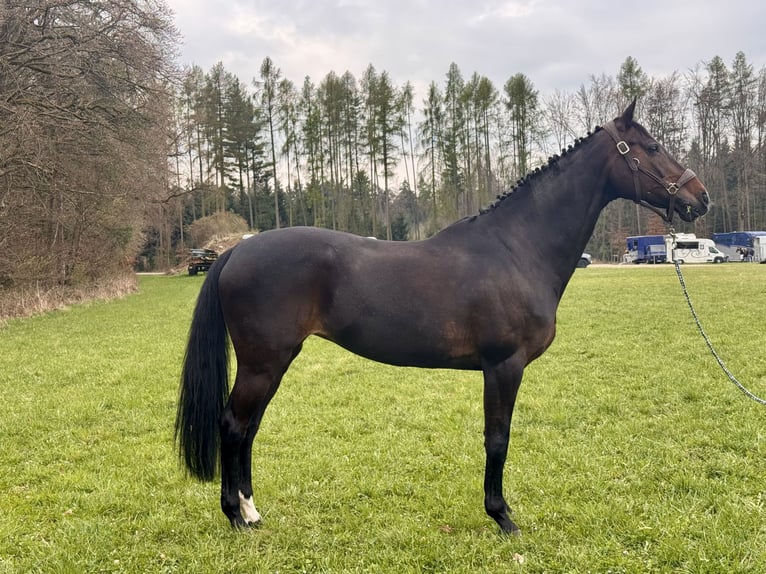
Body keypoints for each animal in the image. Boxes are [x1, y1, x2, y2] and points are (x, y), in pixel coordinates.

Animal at [175, 101, 709, 534]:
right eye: (652, 147)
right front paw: (502, 516)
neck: (518, 248)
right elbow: (498, 439)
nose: (699, 197)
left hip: (274, 362)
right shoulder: (503, 366)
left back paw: (251, 511)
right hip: (263, 362)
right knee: (234, 424)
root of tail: (237, 250)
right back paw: (235, 516)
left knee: (249, 428)